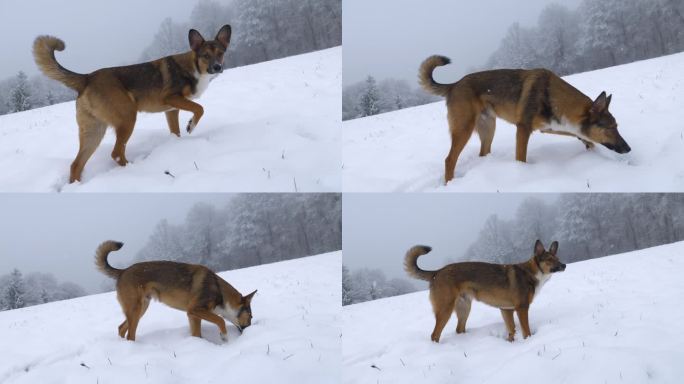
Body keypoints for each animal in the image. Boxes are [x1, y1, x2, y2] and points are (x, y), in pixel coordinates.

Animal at [33, 25, 232, 182]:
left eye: (221, 53)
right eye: (205, 55)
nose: (218, 67)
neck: (194, 67)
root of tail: (87, 78)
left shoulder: (171, 110)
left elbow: (176, 131)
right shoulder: (171, 98)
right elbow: (200, 108)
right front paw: (191, 125)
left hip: (94, 131)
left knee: (76, 165)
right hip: (127, 118)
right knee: (116, 153)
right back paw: (133, 170)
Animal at [95, 240, 255, 342]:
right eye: (250, 317)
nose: (250, 331)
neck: (220, 291)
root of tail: (123, 271)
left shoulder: (193, 315)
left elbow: (197, 334)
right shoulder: (195, 309)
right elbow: (220, 319)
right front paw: (224, 336)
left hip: (141, 309)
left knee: (121, 328)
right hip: (136, 310)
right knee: (129, 334)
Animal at [406, 240, 568, 342]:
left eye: (558, 258)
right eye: (549, 259)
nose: (564, 265)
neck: (533, 272)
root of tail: (437, 272)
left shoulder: (506, 310)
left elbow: (511, 330)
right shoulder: (522, 309)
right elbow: (525, 331)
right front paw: (529, 342)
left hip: (464, 308)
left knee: (459, 329)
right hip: (445, 309)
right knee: (434, 335)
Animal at [416, 55, 632, 184]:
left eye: (617, 126)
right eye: (610, 128)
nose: (628, 149)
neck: (552, 96)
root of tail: (454, 85)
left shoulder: (555, 126)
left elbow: (585, 138)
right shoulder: (523, 129)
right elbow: (521, 158)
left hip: (489, 129)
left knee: (482, 153)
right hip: (464, 129)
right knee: (449, 160)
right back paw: (450, 184)